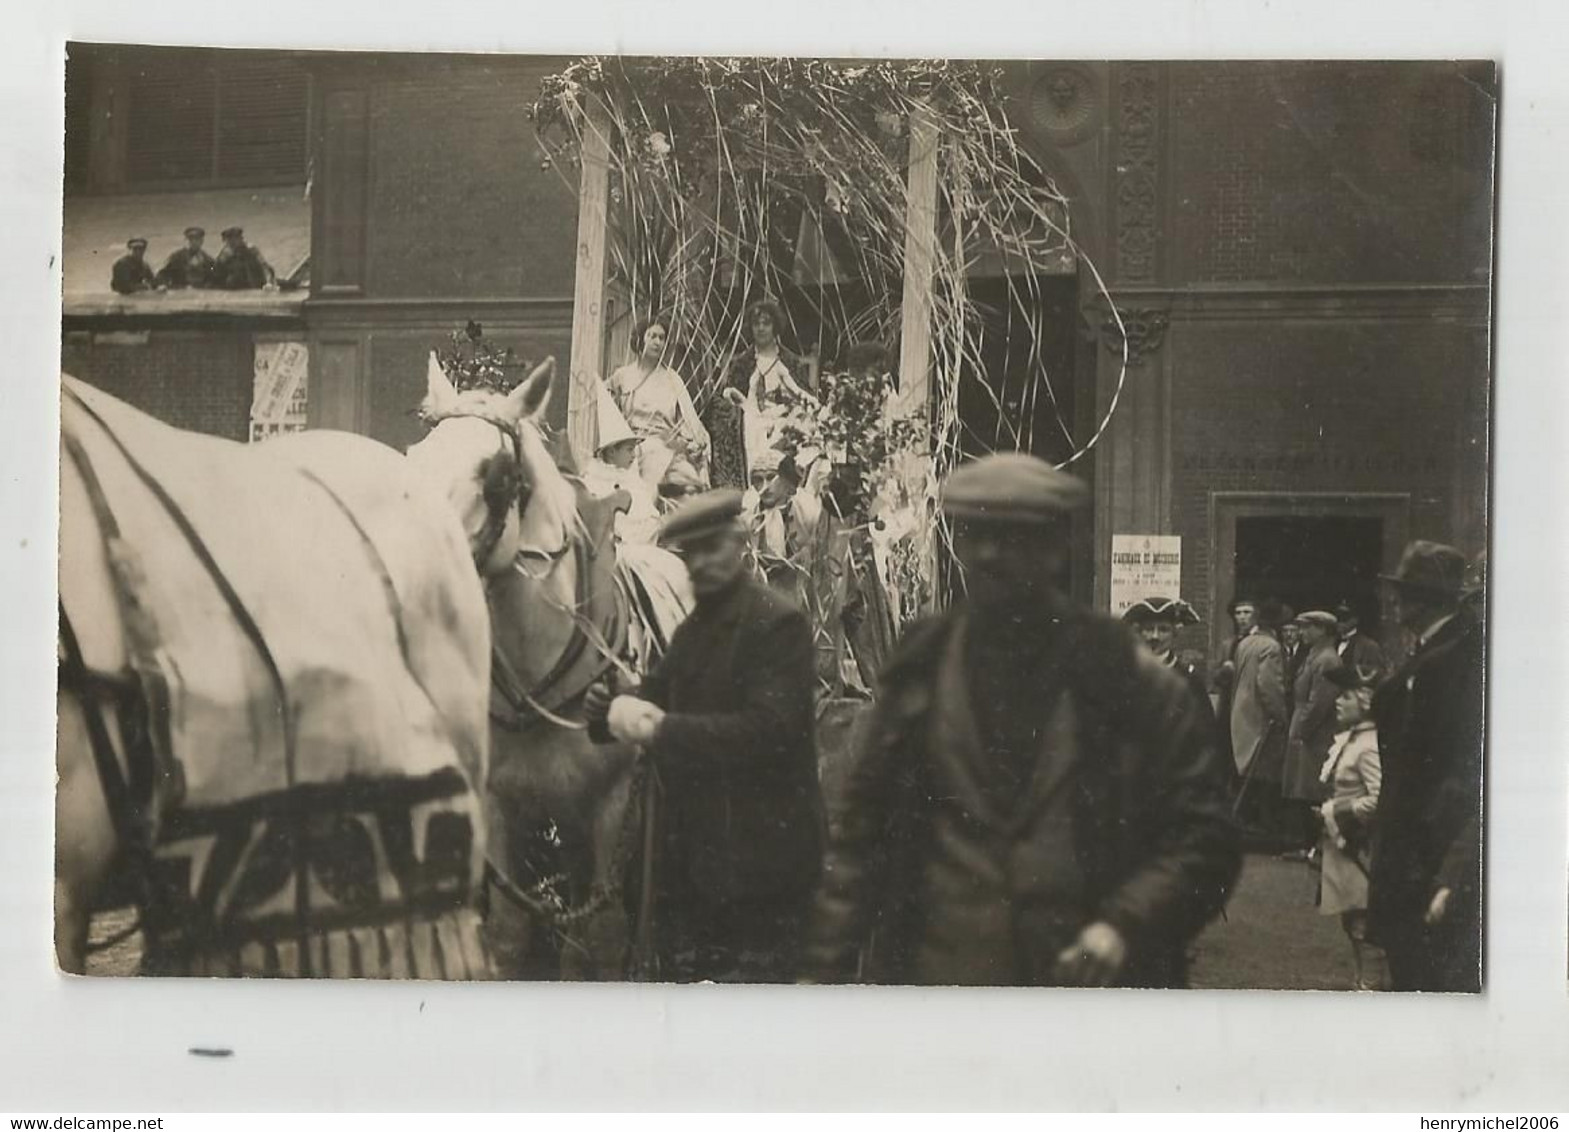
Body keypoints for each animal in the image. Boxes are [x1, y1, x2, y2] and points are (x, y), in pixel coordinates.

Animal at [407, 357, 690, 973]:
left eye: (496, 477)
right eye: (414, 457)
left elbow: (598, 940)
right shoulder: (500, 809)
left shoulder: (611, 809)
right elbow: (511, 935)